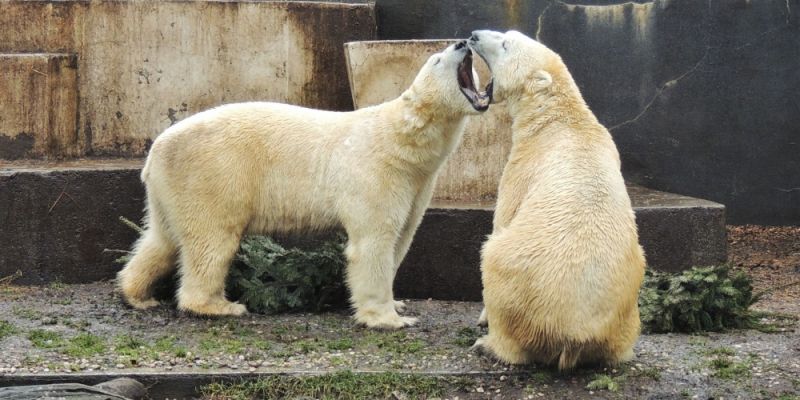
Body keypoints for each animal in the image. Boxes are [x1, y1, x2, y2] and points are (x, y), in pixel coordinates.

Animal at [115, 39, 490, 328]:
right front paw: (389, 319)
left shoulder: (416, 184)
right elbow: (373, 242)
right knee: (212, 240)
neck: (401, 139)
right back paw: (220, 306)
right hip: (214, 174)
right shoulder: (377, 173)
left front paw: (397, 304)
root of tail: (155, 151)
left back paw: (137, 294)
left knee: (161, 239)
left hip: (170, 188)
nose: (462, 42)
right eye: (437, 58)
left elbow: (402, 237)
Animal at [468, 30, 644, 368]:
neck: (560, 118)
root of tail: (572, 336)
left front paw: (481, 318)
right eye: (506, 34)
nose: (473, 35)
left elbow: (503, 218)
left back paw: (488, 343)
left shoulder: (524, 163)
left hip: (517, 283)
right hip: (628, 305)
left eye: (506, 44)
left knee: (492, 258)